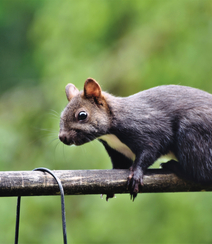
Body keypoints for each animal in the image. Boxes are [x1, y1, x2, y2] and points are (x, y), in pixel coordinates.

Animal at [58, 78, 212, 200]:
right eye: (61, 115)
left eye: (82, 115)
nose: (62, 137)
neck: (110, 135)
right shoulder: (117, 151)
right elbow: (119, 166)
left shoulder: (150, 130)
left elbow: (150, 151)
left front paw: (136, 174)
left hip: (193, 134)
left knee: (202, 173)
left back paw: (174, 166)